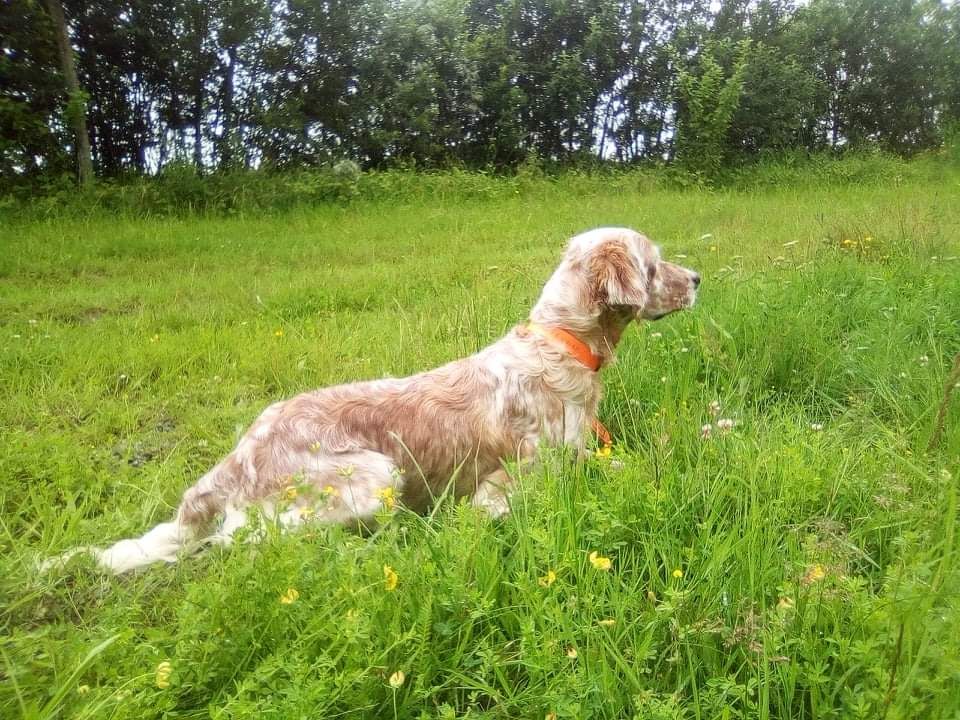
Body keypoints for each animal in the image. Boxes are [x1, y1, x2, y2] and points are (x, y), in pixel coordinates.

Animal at [56, 225, 696, 572]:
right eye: (654, 263)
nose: (697, 279)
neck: (561, 343)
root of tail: (236, 458)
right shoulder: (505, 485)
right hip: (374, 476)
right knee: (243, 541)